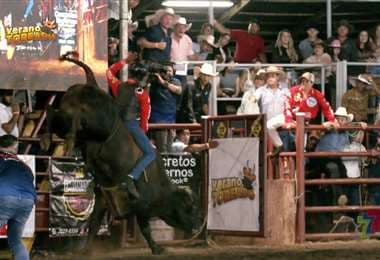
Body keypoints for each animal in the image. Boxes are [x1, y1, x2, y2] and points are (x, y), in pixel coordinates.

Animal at [44, 53, 202, 255]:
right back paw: (69, 141)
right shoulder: (143, 206)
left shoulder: (103, 199)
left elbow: (94, 224)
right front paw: (157, 248)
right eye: (190, 207)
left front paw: (85, 250)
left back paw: (48, 136)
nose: (197, 226)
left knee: (54, 114)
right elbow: (145, 229)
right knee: (77, 120)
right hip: (94, 123)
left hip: (67, 118)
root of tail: (90, 83)